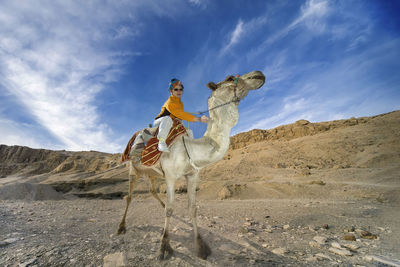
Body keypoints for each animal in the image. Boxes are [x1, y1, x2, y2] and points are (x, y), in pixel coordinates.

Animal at [116, 70, 266, 260]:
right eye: (230, 78)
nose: (258, 74)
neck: (191, 148)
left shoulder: (192, 175)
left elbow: (193, 208)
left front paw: (201, 247)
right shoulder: (171, 177)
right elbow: (170, 209)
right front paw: (164, 248)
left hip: (153, 173)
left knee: (152, 189)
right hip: (133, 169)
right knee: (129, 196)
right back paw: (121, 227)